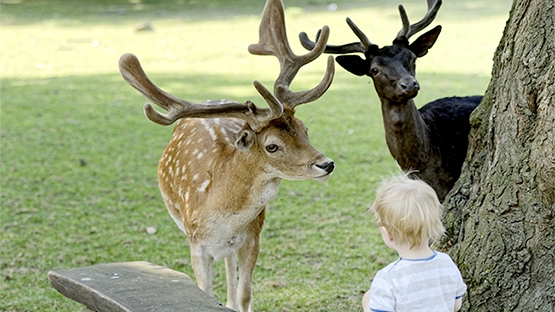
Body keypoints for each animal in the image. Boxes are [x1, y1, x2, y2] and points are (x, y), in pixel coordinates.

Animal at [118, 0, 334, 310]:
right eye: (272, 145)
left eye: (305, 129)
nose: (326, 164)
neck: (221, 216)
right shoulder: (196, 244)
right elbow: (204, 294)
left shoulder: (252, 238)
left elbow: (245, 295)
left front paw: (238, 300)